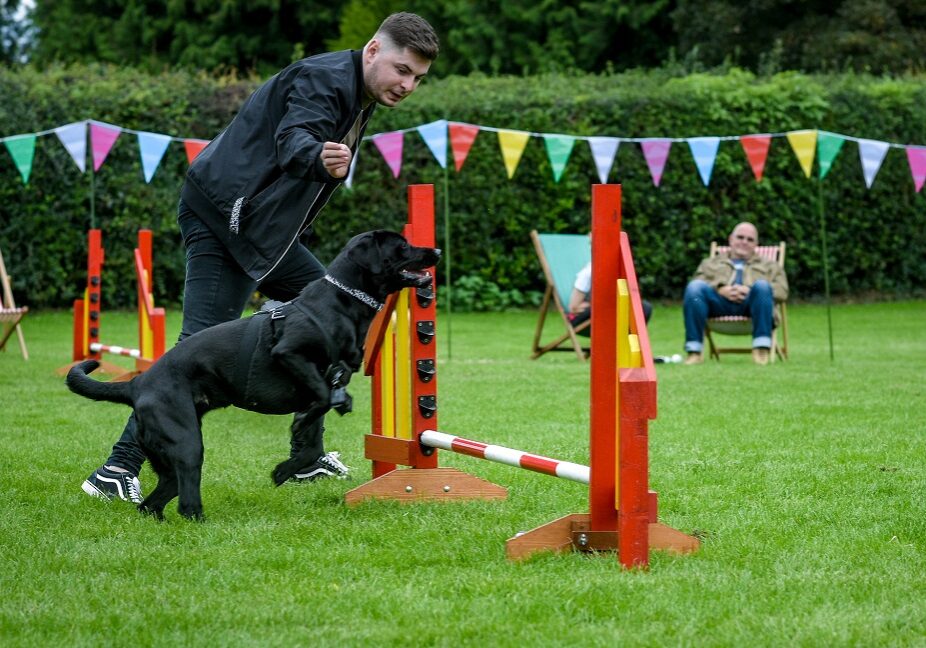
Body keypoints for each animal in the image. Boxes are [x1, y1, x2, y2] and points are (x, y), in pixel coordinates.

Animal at [67, 230, 440, 520]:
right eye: (402, 246)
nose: (435, 251)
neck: (341, 303)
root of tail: (138, 382)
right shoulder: (290, 354)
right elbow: (320, 400)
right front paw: (295, 438)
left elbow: (311, 441)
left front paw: (285, 469)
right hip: (187, 442)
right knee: (186, 499)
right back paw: (199, 521)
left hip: (169, 455)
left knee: (153, 503)